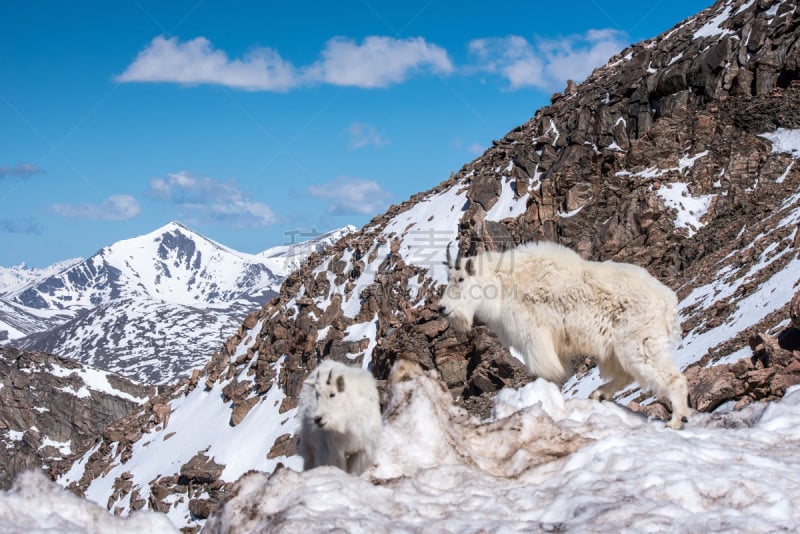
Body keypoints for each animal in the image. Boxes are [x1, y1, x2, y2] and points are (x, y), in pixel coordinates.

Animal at [434, 243, 692, 432]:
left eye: (460, 279)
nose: (442, 308)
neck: (502, 283)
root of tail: (667, 300)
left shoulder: (535, 335)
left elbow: (544, 371)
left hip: (639, 340)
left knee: (669, 376)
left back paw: (676, 420)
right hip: (617, 348)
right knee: (626, 374)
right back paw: (599, 394)